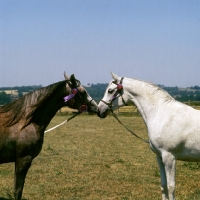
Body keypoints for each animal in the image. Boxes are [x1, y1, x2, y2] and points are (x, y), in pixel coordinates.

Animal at [97, 72, 200, 200]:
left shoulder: (169, 157)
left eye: (110, 91)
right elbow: (163, 185)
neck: (162, 114)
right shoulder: (160, 157)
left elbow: (171, 187)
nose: (99, 110)